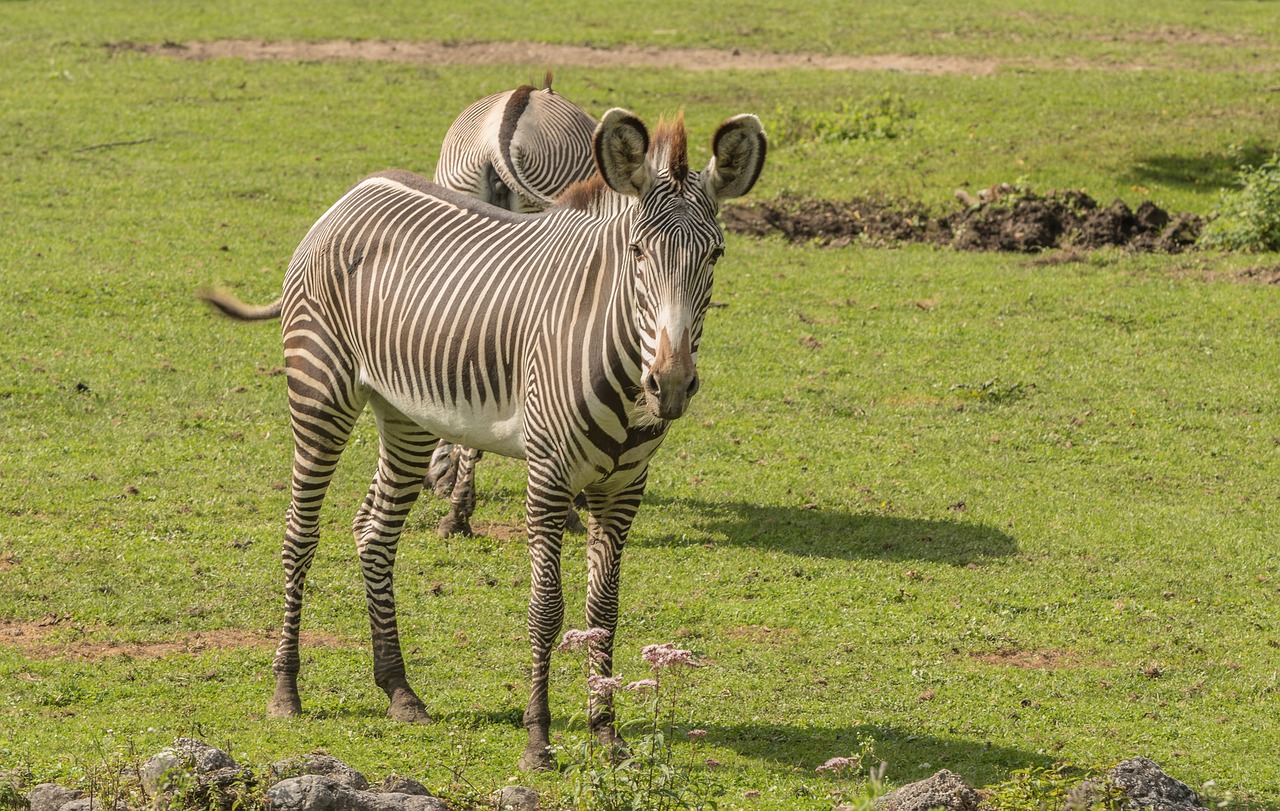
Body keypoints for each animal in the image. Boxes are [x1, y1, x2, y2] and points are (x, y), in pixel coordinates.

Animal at [206, 108, 762, 772]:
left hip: (408, 415)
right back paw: (286, 690)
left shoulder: (625, 488)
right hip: (319, 391)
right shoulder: (549, 475)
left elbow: (603, 612)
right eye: (637, 252)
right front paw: (538, 740)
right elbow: (547, 610)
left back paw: (399, 689)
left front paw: (607, 735)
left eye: (715, 254)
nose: (671, 385)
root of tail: (353, 193)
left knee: (374, 531)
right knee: (300, 535)